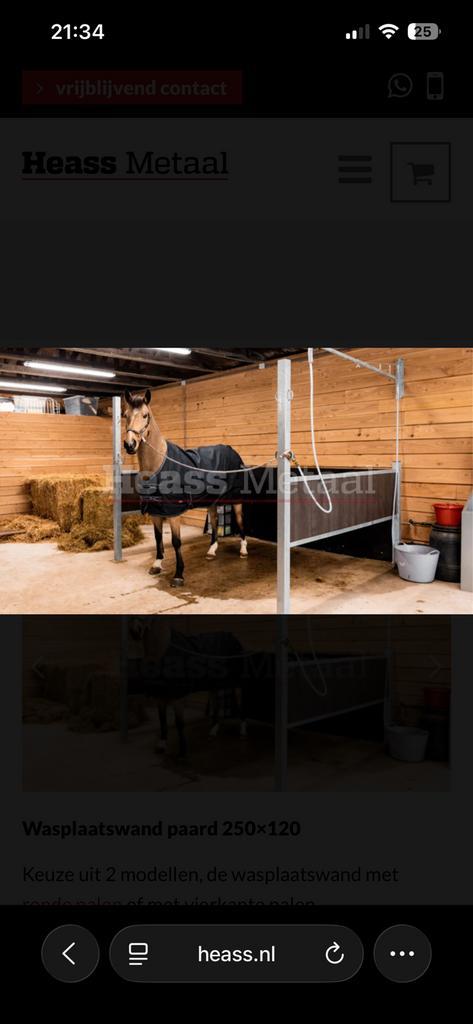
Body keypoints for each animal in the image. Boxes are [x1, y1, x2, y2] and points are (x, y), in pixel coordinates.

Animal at [123, 389, 248, 587]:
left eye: (145, 415)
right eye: (125, 415)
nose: (129, 445)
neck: (159, 463)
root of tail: (232, 450)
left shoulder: (173, 512)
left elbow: (176, 541)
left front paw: (179, 575)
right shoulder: (156, 511)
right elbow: (158, 537)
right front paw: (157, 564)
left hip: (235, 499)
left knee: (240, 520)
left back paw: (243, 550)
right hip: (211, 501)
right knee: (214, 521)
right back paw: (211, 551)